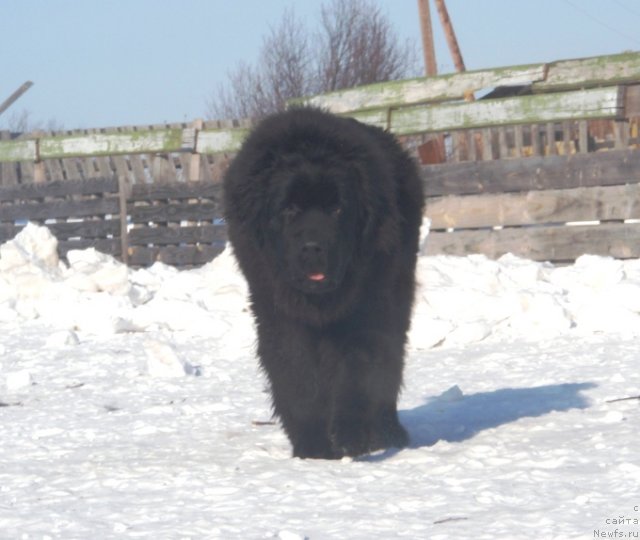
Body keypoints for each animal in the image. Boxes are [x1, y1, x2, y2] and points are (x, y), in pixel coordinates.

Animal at [225, 106, 424, 460]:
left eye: (337, 208)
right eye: (289, 209)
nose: (313, 248)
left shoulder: (368, 310)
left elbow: (357, 371)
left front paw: (349, 436)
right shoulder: (277, 313)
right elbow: (296, 375)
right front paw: (313, 447)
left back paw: (389, 433)